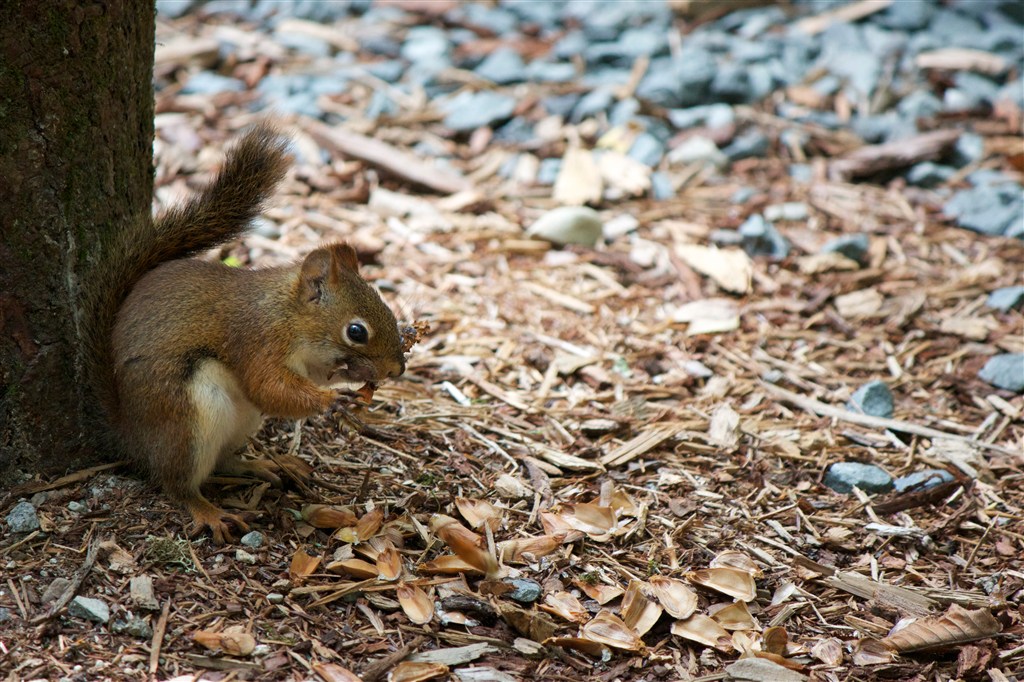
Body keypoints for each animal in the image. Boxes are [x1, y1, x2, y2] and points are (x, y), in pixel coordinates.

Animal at [84, 123, 403, 540]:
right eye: (356, 331)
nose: (397, 369)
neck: (287, 312)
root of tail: (131, 436)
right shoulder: (257, 339)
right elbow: (268, 386)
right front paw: (331, 400)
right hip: (189, 419)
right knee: (176, 482)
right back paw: (208, 511)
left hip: (241, 420)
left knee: (223, 462)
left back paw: (264, 465)